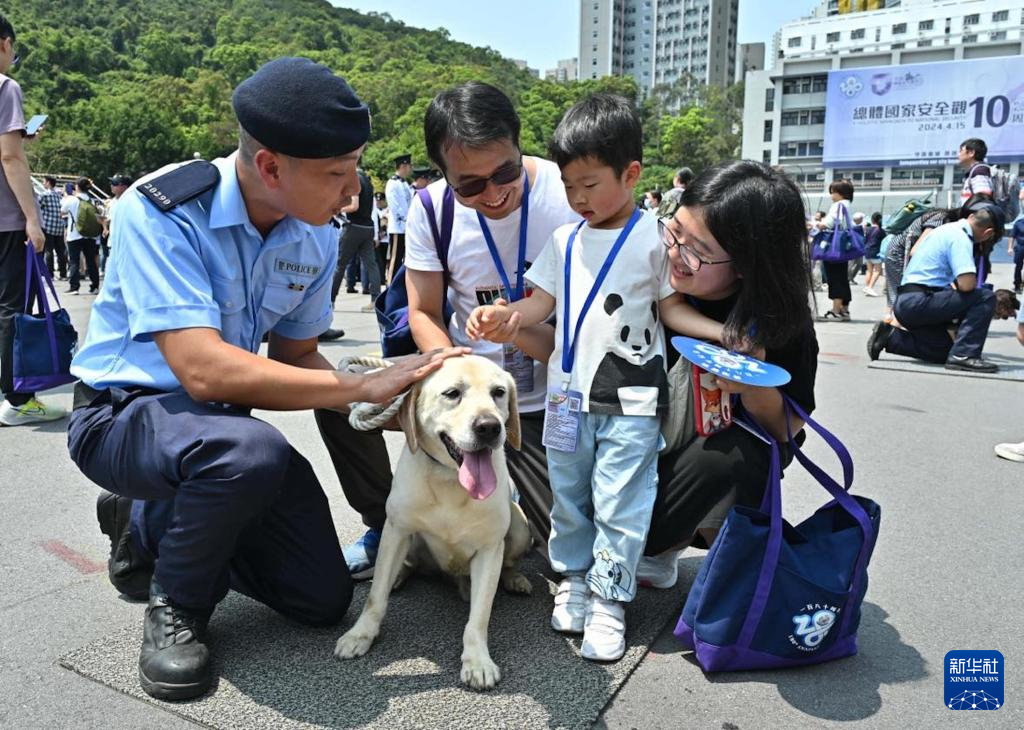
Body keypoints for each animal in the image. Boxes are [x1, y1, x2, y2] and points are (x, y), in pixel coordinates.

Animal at [335, 356, 532, 692]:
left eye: (498, 392)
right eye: (452, 393)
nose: (490, 427)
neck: (450, 479)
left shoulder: (490, 548)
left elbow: (478, 617)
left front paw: (477, 661)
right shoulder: (397, 530)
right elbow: (375, 598)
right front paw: (360, 634)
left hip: (520, 526)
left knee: (505, 563)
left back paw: (512, 578)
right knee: (404, 566)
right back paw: (399, 576)